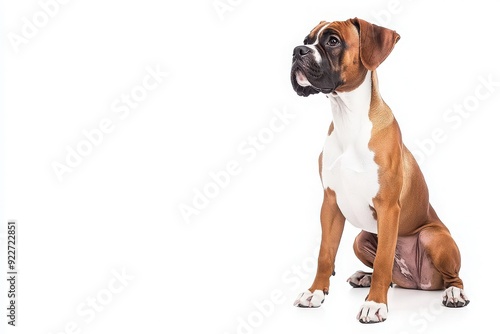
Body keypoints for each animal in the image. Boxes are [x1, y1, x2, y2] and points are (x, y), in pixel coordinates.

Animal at [290, 17, 468, 324]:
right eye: (306, 40)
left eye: (333, 41)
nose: (297, 50)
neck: (348, 119)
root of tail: (419, 283)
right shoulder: (330, 204)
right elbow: (325, 253)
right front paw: (315, 292)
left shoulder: (388, 207)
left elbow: (384, 259)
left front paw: (374, 305)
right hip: (360, 239)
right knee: (390, 275)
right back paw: (364, 276)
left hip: (433, 237)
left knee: (453, 277)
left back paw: (454, 294)